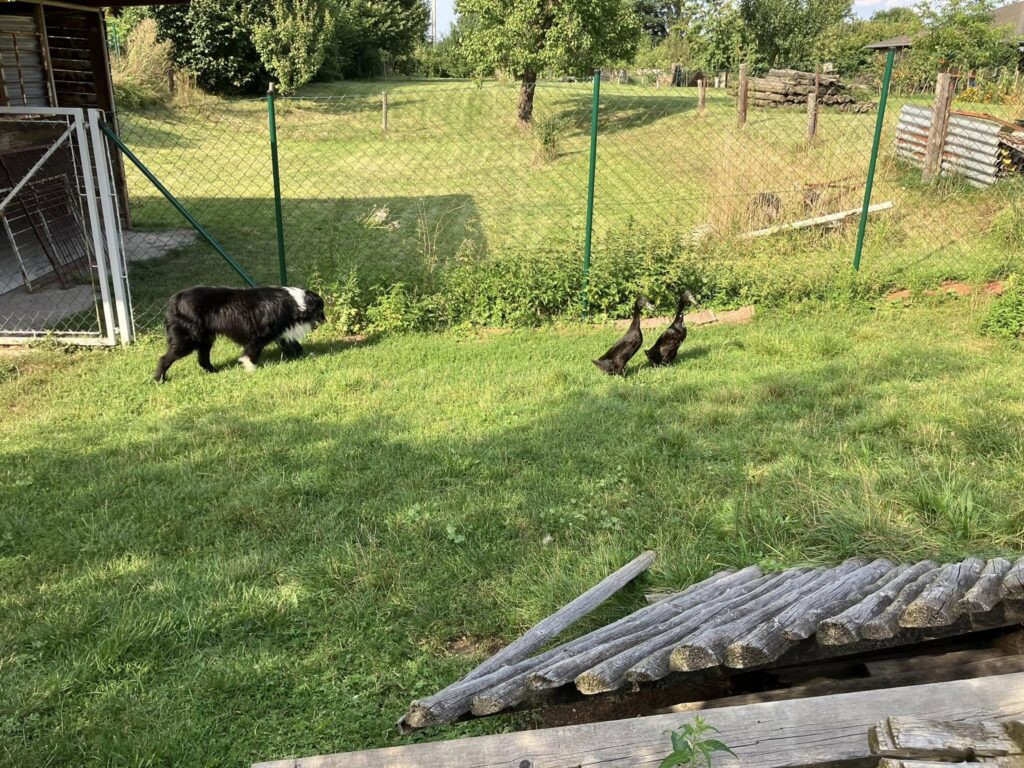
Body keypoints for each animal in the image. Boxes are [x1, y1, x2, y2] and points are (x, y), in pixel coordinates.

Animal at [154, 286, 326, 382]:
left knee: (203, 359)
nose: (325, 320)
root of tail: (176, 299)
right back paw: (159, 379)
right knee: (164, 358)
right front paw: (250, 368)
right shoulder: (259, 336)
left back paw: (214, 372)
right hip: (189, 339)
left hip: (205, 338)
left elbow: (295, 345)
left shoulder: (280, 332)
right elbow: (251, 353)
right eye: (321, 309)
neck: (297, 303)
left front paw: (305, 355)